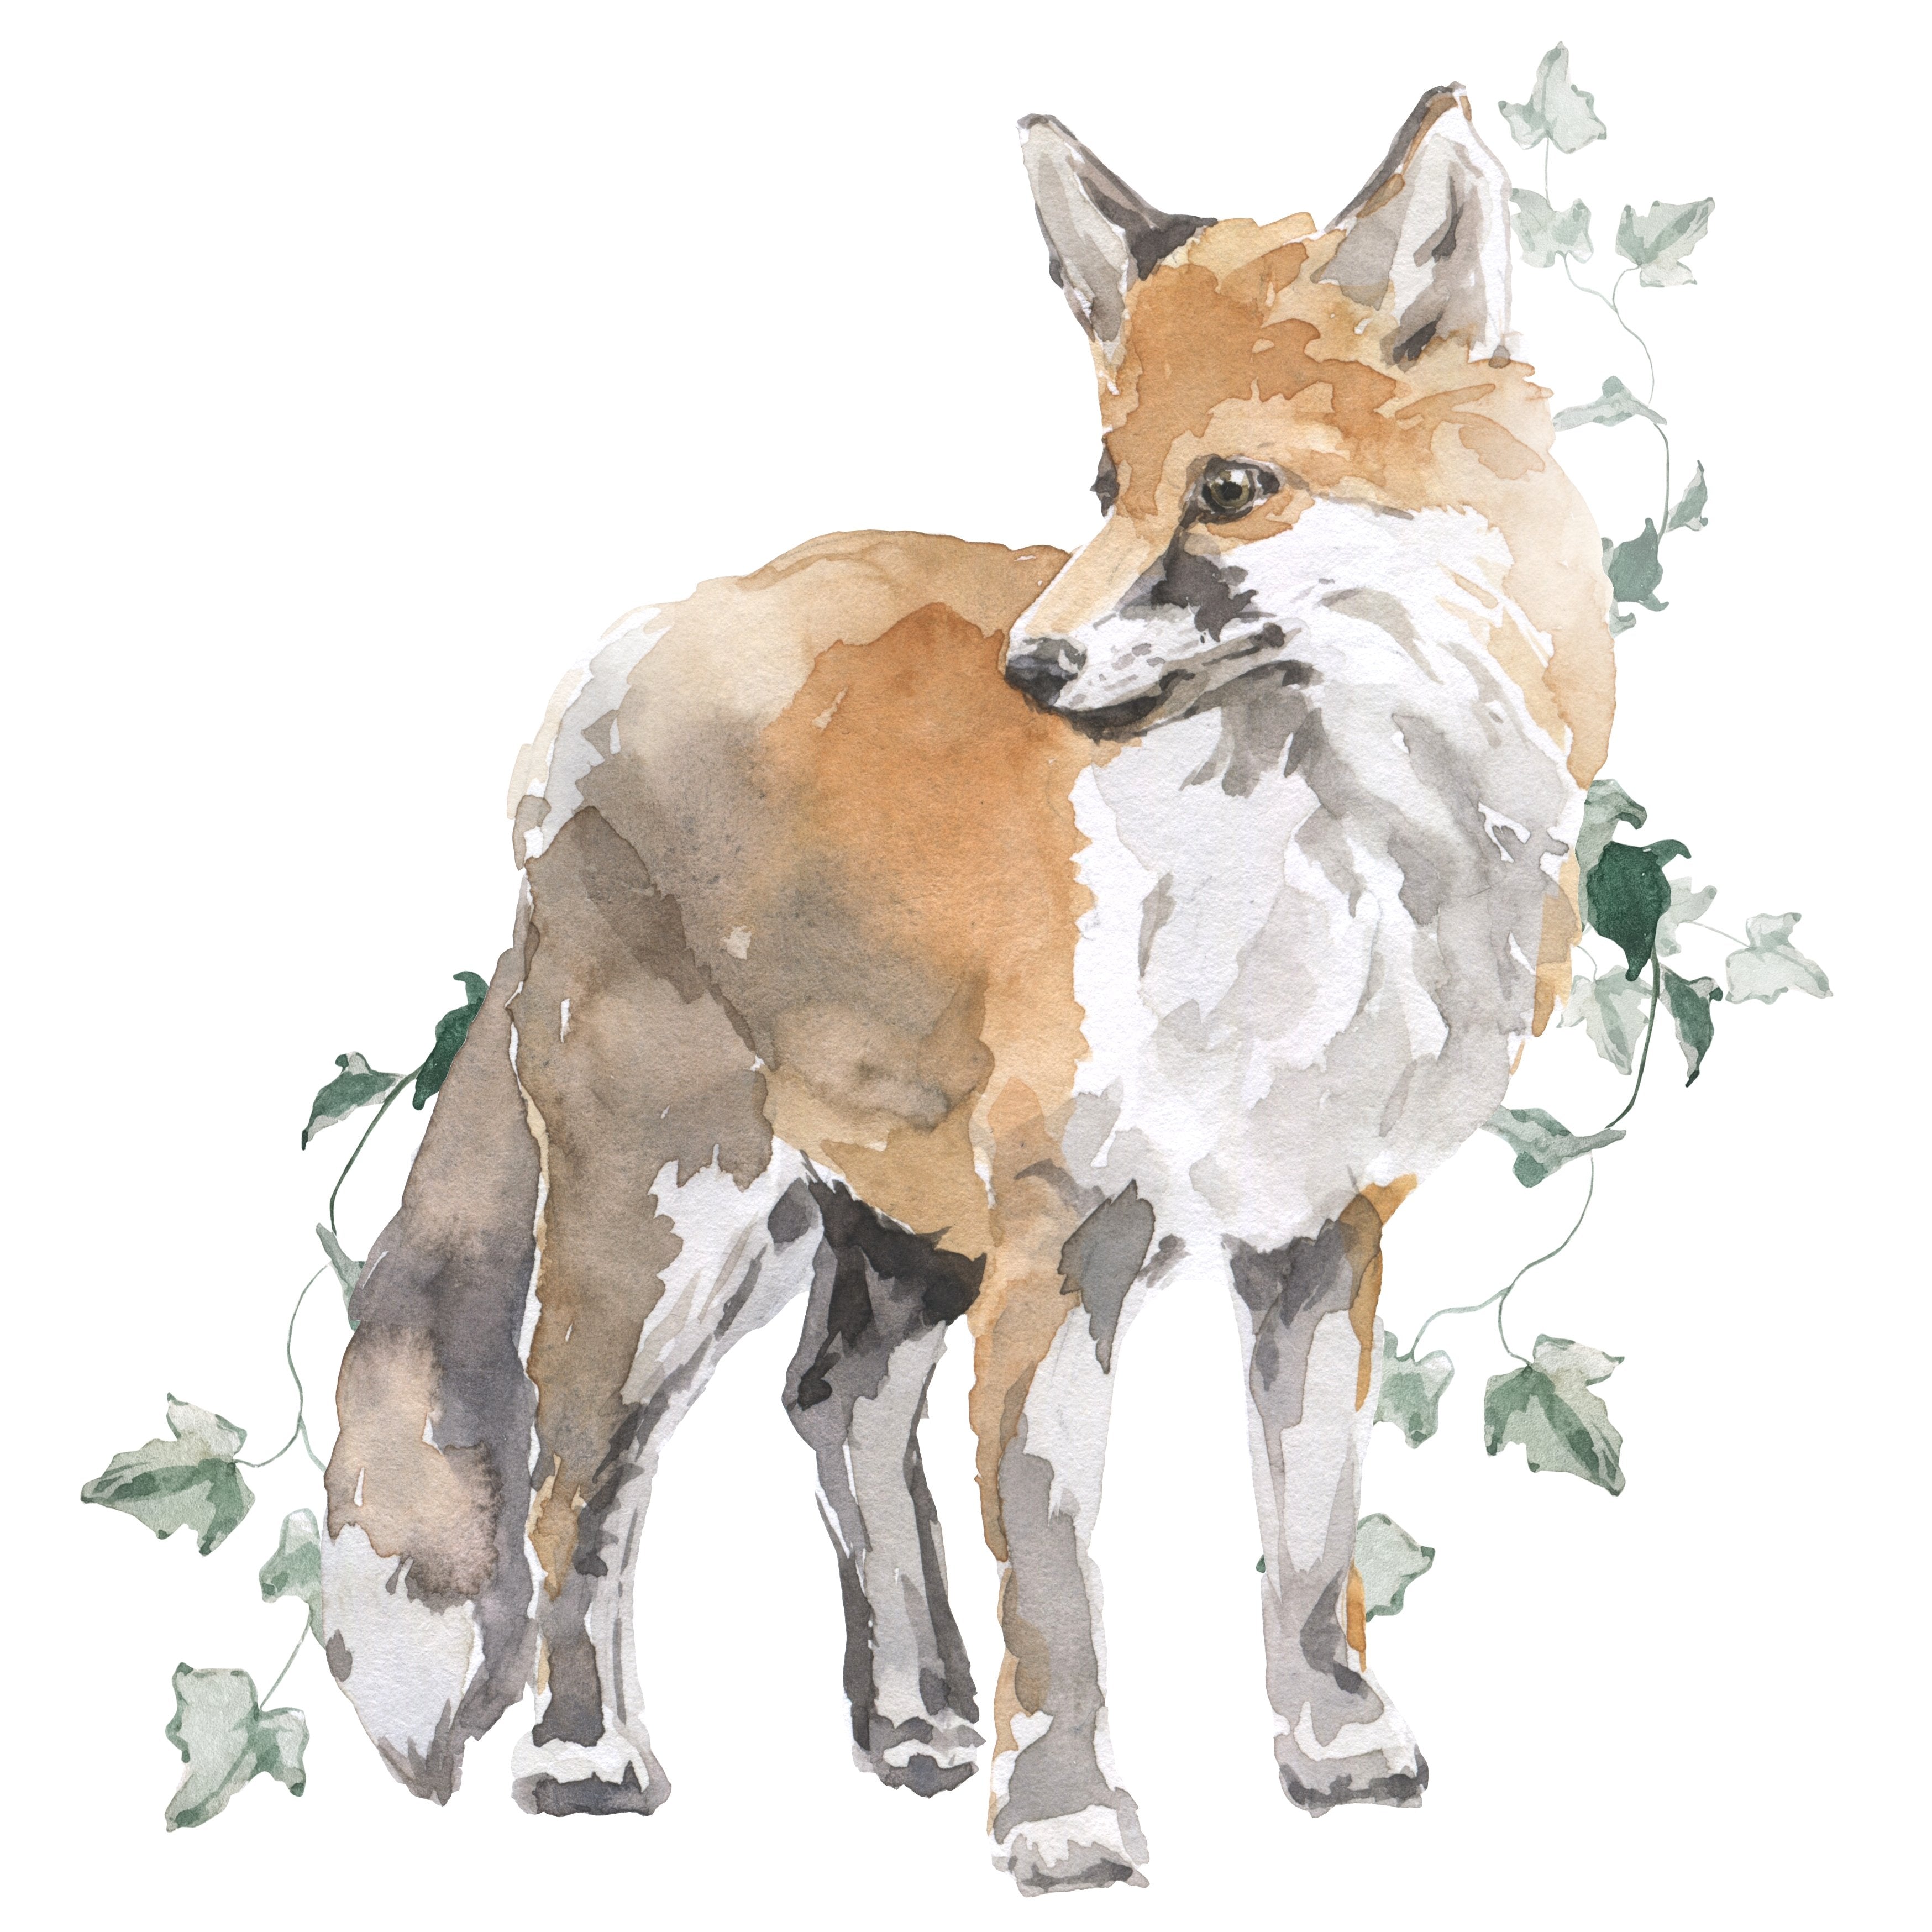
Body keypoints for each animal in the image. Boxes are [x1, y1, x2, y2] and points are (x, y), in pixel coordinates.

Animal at [320, 85, 1614, 1894]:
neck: (1321, 876)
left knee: (836, 1409)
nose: (1033, 669)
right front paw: (1066, 1817)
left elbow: (1304, 1540)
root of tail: (623, 651)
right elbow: (1058, 1587)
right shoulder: (1067, 1239)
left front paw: (1331, 1745)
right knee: (579, 1481)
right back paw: (587, 1754)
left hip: (893, 1221)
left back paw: (907, 1714)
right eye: (1100, 481)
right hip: (669, 1227)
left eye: (1227, 488)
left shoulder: (1311, 1228)